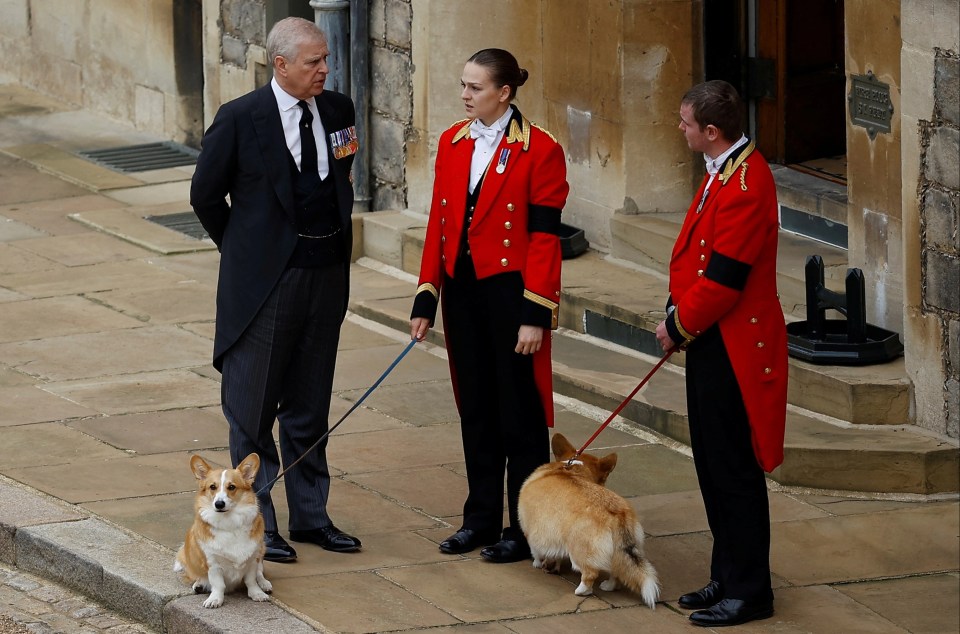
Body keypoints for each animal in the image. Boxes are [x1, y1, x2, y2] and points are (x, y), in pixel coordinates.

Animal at [171, 452, 270, 604]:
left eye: (232, 487)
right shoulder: (213, 563)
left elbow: (251, 580)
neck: (229, 523)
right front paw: (215, 599)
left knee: (260, 572)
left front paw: (257, 593)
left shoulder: (252, 559)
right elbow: (218, 584)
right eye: (212, 487)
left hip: (261, 550)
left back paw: (265, 584)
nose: (219, 504)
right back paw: (199, 585)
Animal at [516, 432, 660, 604]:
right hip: (621, 551)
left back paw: (581, 590)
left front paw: (537, 564)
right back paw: (608, 586)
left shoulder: (533, 531)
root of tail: (618, 516)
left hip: (580, 551)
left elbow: (536, 551)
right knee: (616, 570)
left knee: (590, 573)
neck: (573, 468)